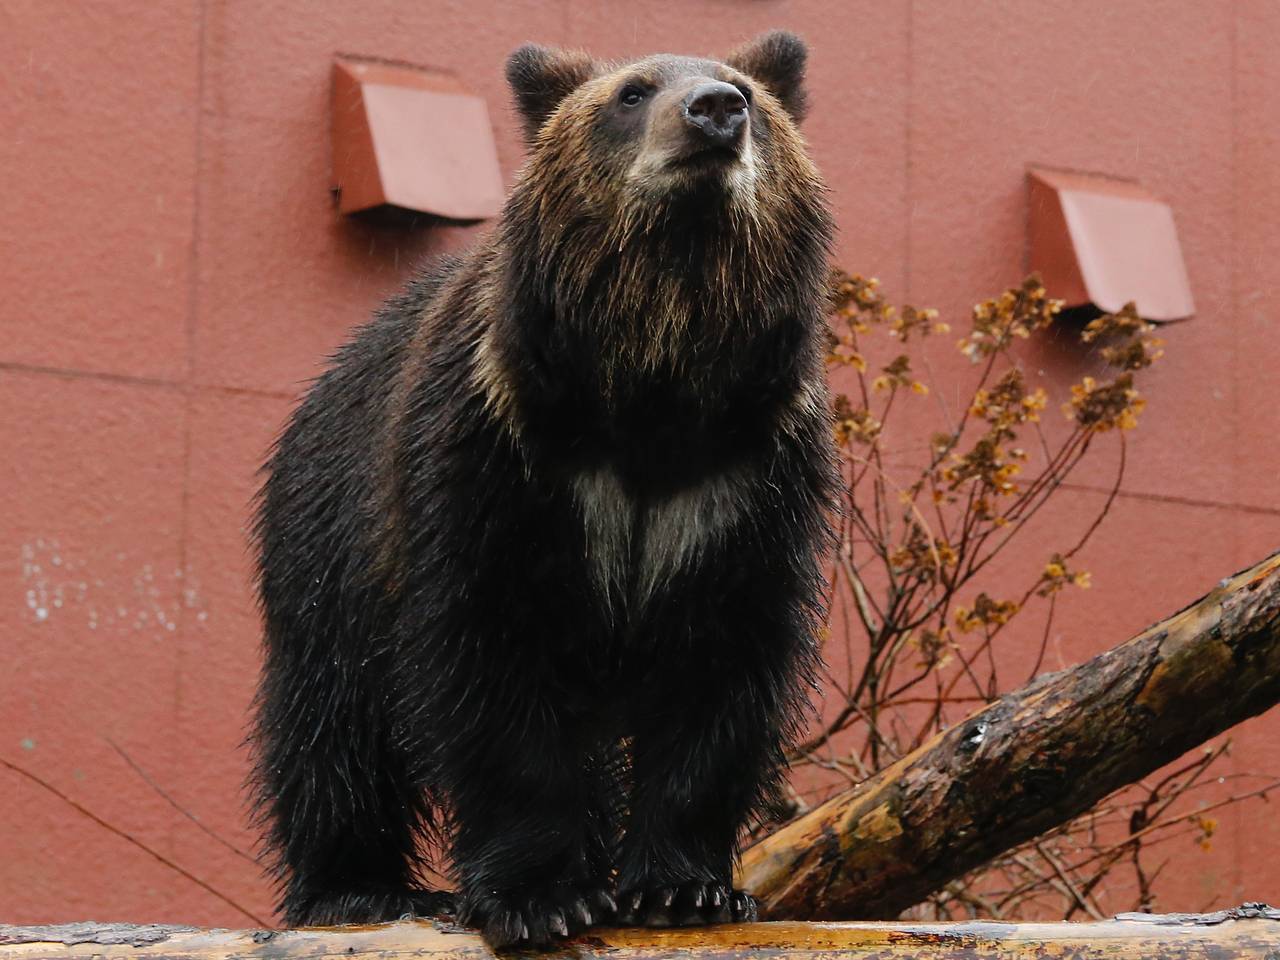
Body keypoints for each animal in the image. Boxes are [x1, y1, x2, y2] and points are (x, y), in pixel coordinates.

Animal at [250, 32, 839, 957]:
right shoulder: (505, 461)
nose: (715, 111)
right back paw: (356, 886)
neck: (654, 381)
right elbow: (495, 665)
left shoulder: (742, 483)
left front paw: (686, 886)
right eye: (632, 92)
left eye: (744, 89)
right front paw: (541, 895)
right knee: (329, 724)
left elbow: (722, 670)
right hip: (325, 541)